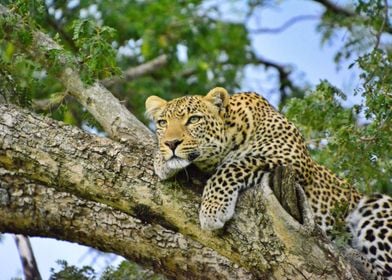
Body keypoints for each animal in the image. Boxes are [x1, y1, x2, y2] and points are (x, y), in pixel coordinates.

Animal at [145, 87, 392, 278]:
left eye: (194, 119)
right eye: (162, 123)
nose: (171, 143)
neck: (235, 129)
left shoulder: (290, 159)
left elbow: (233, 166)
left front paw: (213, 210)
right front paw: (161, 159)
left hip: (376, 205)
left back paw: (356, 257)